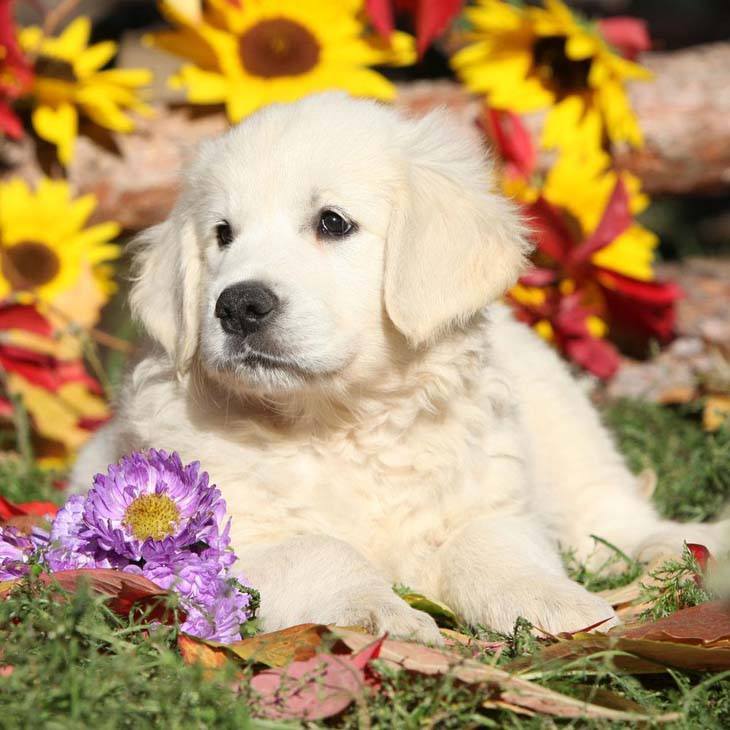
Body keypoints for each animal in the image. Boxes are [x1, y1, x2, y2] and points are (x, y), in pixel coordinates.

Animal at [72, 92, 728, 644]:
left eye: (333, 222)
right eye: (223, 235)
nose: (238, 305)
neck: (339, 422)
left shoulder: (491, 499)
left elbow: (490, 547)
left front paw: (554, 603)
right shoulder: (220, 540)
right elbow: (320, 551)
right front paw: (378, 612)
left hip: (565, 424)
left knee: (612, 513)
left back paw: (677, 548)